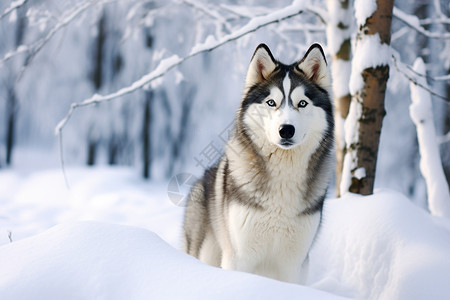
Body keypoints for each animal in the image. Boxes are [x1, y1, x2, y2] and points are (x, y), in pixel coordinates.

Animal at [182, 43, 334, 282]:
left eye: (302, 103)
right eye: (271, 102)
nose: (286, 129)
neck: (283, 178)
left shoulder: (294, 265)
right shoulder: (239, 258)